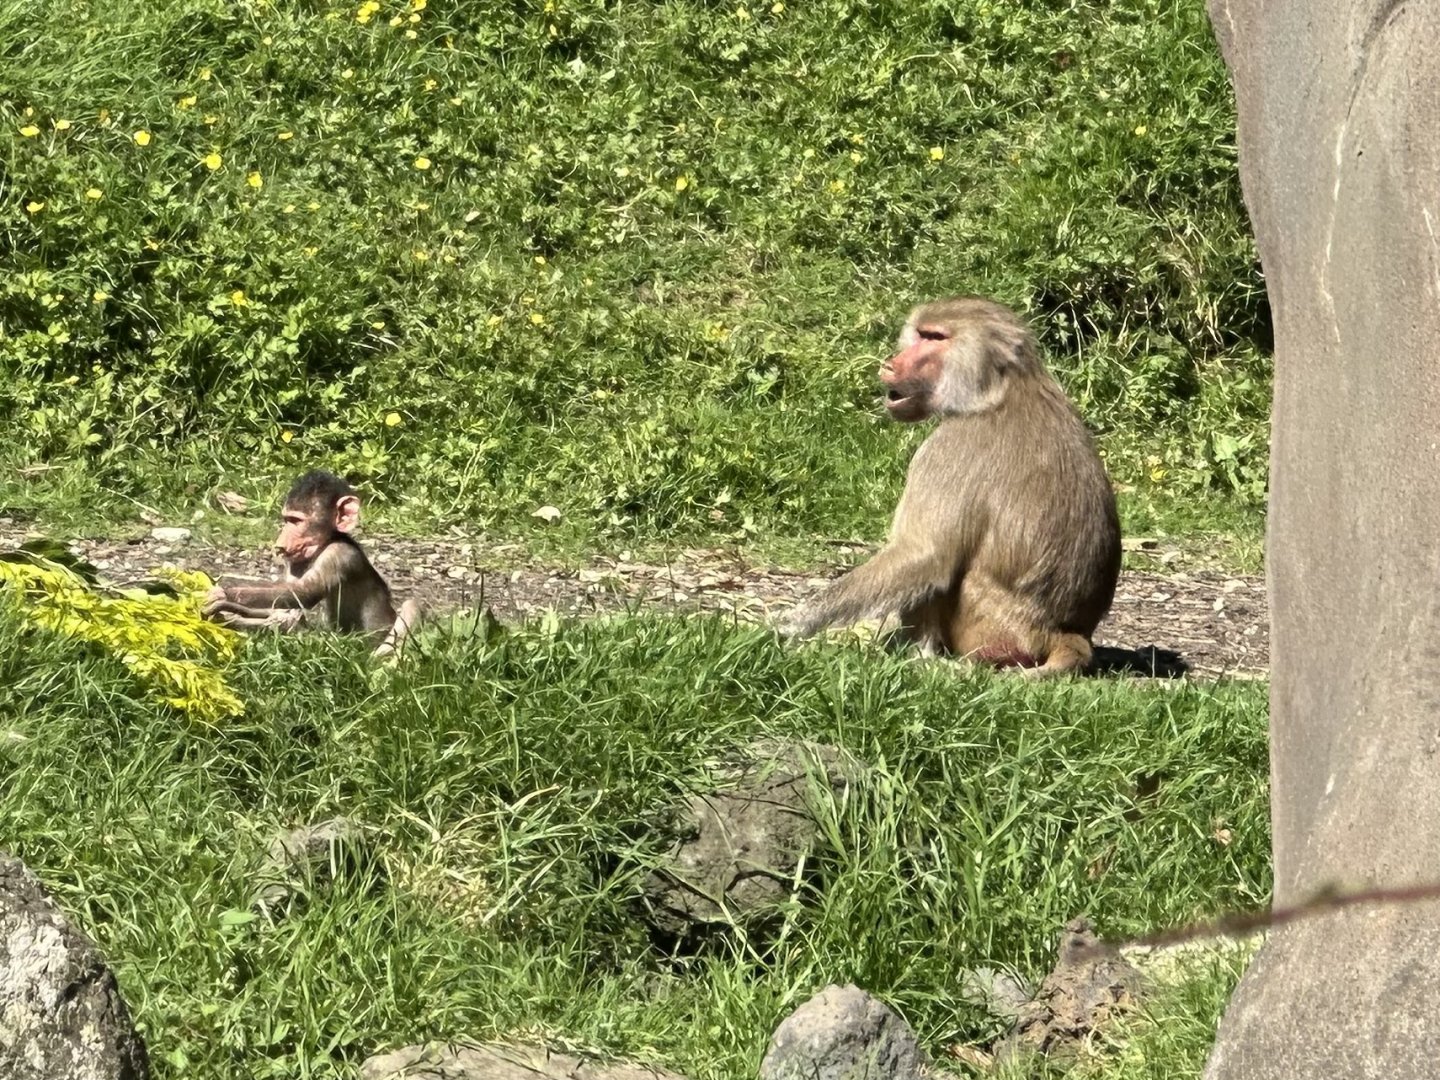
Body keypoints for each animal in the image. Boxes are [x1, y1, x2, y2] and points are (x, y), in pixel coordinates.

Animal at [202, 469, 423, 657]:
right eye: (287, 519)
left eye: (297, 521)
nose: (282, 540)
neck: (326, 542)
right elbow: (288, 606)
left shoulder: (338, 554)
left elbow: (305, 593)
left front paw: (223, 594)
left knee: (412, 606)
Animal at [779, 296, 1121, 678]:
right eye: (921, 334)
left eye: (935, 338)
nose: (889, 365)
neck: (1001, 389)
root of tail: (1062, 633)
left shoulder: (947, 448)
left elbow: (925, 555)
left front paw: (793, 623)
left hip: (990, 627)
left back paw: (918, 656)